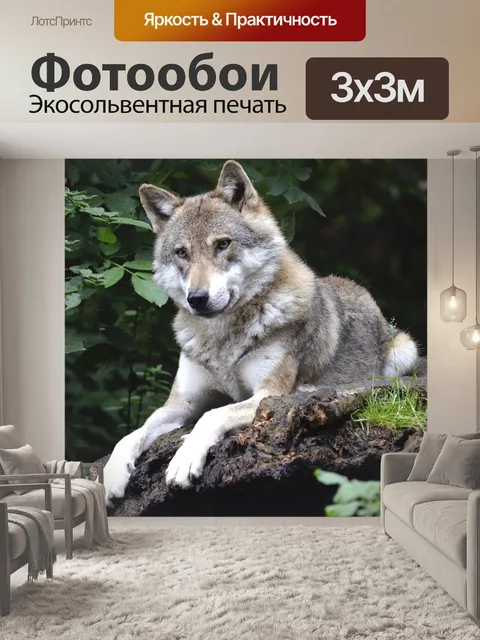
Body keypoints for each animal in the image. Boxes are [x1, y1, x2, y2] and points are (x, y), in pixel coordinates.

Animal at [103, 160, 418, 505]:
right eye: (181, 253)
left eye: (222, 244)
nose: (197, 299)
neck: (223, 338)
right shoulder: (179, 405)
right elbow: (133, 432)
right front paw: (112, 475)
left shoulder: (267, 394)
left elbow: (212, 415)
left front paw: (183, 460)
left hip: (406, 350)